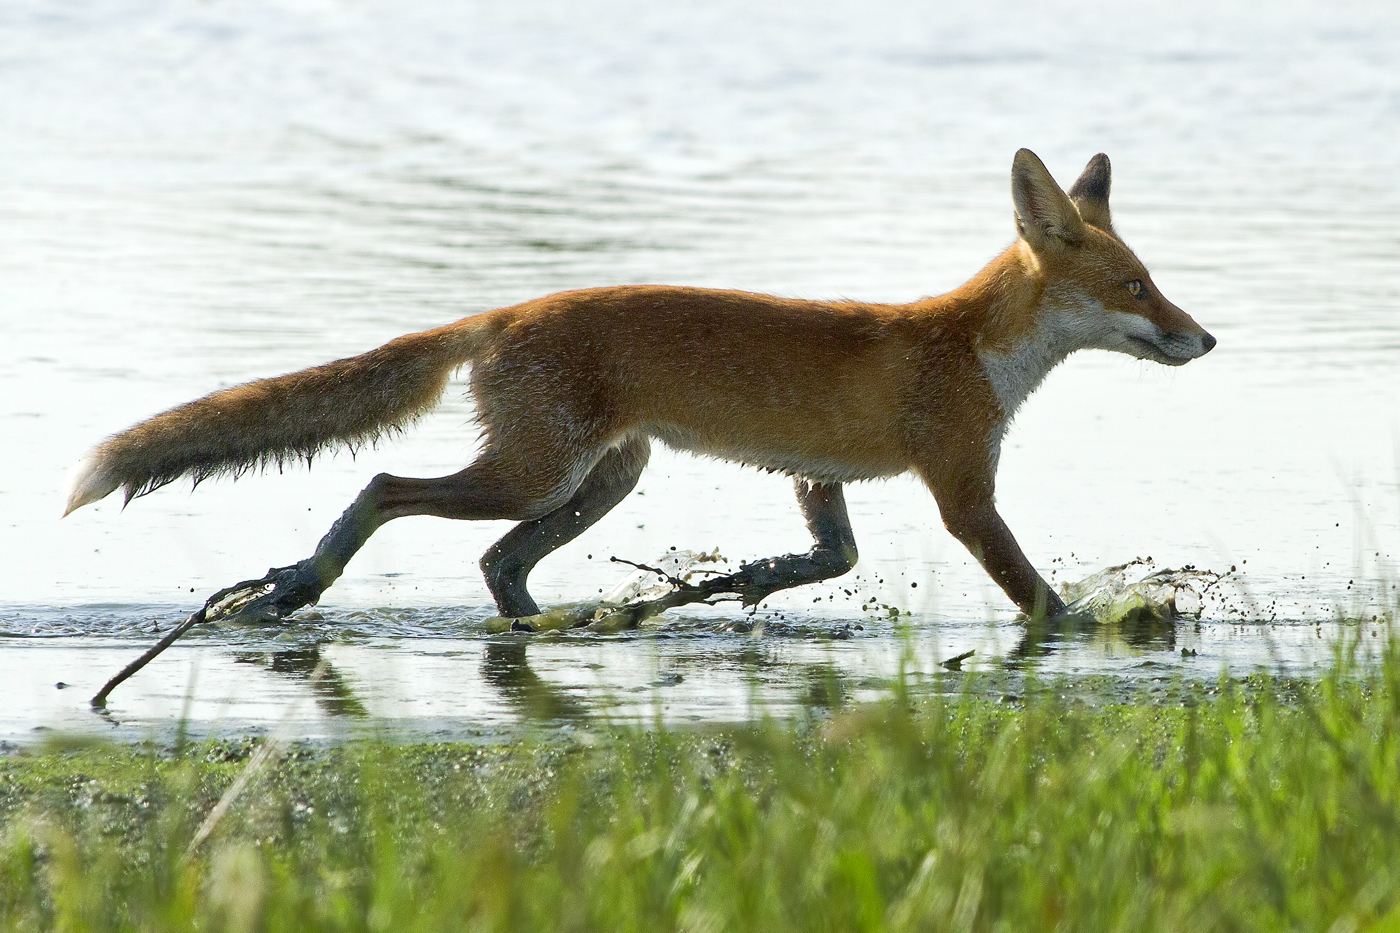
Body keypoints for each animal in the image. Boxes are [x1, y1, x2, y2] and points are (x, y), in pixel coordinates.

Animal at [64, 149, 1214, 625]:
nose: (1202, 337)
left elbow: (829, 560)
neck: (970, 345)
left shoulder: (818, 477)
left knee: (497, 561)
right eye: (1135, 287)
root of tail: (501, 313)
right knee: (390, 490)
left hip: (603, 480)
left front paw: (731, 585)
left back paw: (563, 626)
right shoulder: (961, 487)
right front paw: (1090, 628)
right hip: (535, 472)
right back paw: (303, 582)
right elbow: (1032, 590)